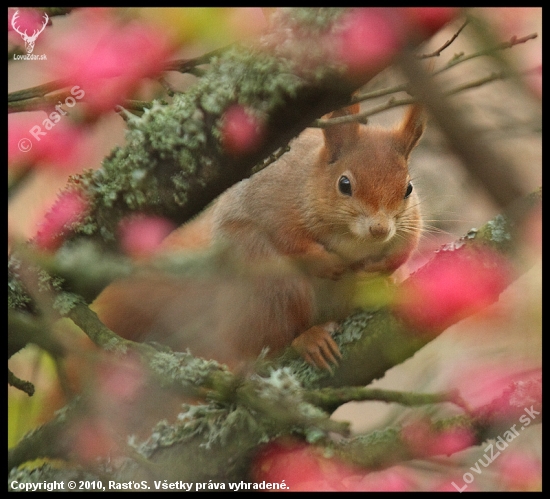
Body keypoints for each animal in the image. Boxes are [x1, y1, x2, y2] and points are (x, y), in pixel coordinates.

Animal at [92, 103, 424, 372]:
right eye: (344, 184)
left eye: (408, 188)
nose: (379, 229)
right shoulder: (273, 204)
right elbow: (289, 238)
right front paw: (327, 262)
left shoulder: (410, 223)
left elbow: (408, 245)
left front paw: (383, 267)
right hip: (273, 287)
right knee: (273, 339)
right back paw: (308, 339)